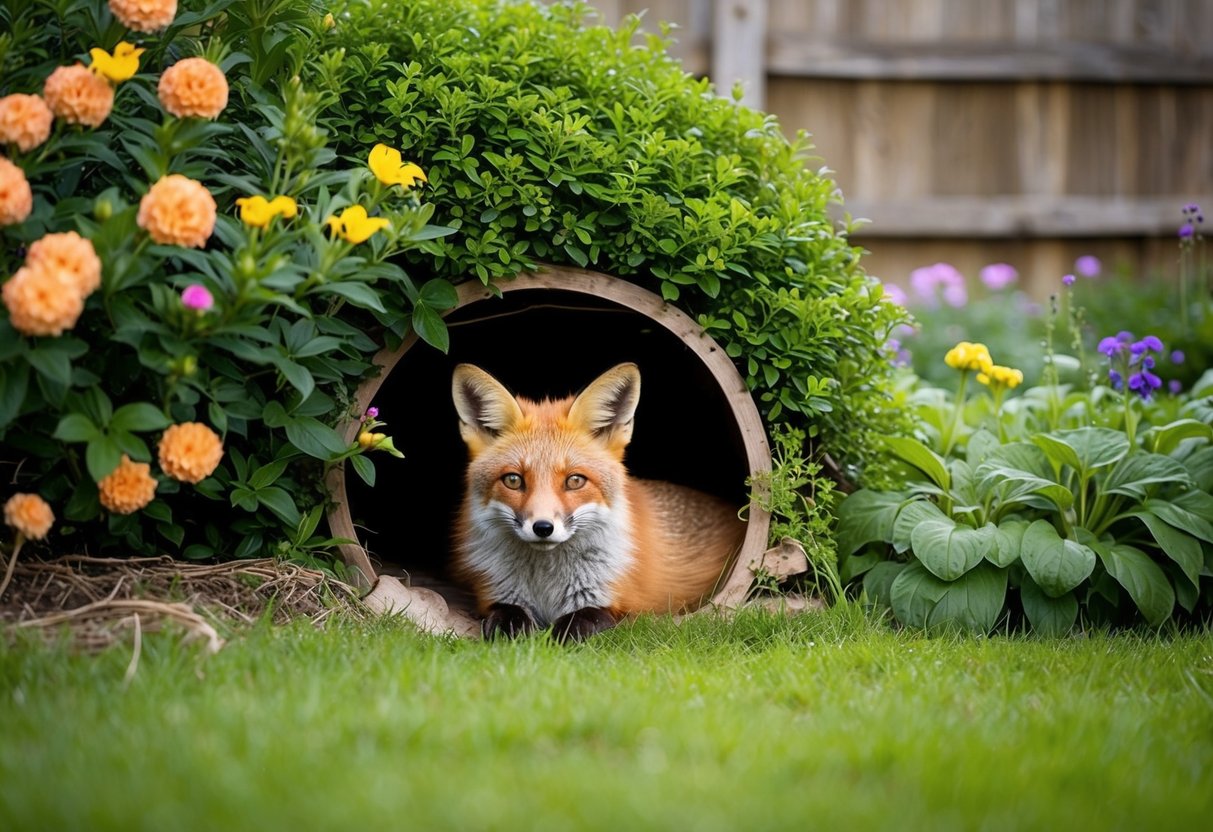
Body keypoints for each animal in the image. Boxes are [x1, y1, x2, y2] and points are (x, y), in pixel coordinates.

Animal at [451, 362, 746, 642]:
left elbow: (583, 620)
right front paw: (511, 630)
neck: (546, 587)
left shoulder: (624, 607)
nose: (543, 528)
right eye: (513, 480)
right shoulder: (494, 593)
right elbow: (506, 612)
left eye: (575, 481)